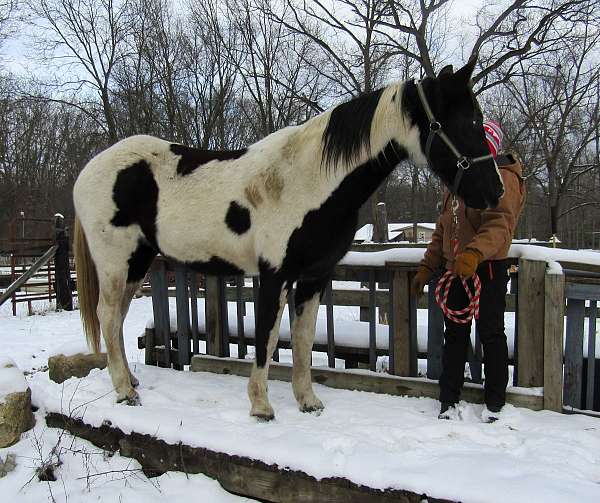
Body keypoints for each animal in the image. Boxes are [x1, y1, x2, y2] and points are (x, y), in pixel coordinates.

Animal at [72, 59, 504, 420]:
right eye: (465, 122)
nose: (495, 191)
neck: (309, 182)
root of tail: (88, 170)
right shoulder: (274, 276)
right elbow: (266, 337)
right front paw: (261, 406)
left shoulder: (314, 278)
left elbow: (302, 339)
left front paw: (308, 401)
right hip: (117, 263)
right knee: (108, 315)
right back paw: (125, 392)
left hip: (137, 264)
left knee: (117, 318)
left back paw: (130, 382)